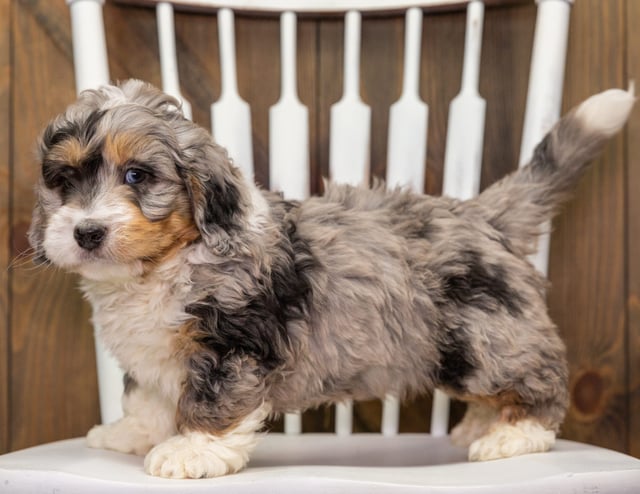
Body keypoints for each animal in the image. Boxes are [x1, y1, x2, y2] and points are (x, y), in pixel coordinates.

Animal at [28, 80, 636, 478]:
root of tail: (483, 215)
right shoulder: (154, 355)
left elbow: (211, 400)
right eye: (64, 180)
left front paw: (191, 450)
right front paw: (131, 435)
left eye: (138, 176)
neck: (167, 262)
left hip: (485, 339)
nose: (86, 232)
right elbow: (147, 398)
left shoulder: (232, 345)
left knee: (539, 378)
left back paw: (512, 435)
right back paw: (481, 426)